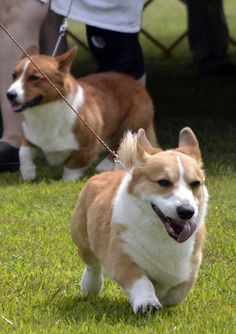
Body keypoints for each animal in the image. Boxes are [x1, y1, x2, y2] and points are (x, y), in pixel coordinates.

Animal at [6, 46, 157, 181]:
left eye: (34, 78)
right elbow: (23, 152)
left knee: (121, 145)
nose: (9, 95)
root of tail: (136, 83)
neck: (46, 112)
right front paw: (28, 173)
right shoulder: (31, 137)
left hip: (129, 126)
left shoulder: (88, 146)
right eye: (14, 76)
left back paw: (103, 166)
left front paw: (68, 181)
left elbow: (72, 166)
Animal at [71, 126, 208, 314]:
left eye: (195, 184)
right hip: (83, 240)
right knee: (92, 265)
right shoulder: (122, 257)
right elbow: (141, 281)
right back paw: (90, 286)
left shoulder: (192, 265)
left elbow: (178, 292)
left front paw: (163, 297)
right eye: (163, 182)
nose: (186, 211)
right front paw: (147, 303)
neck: (160, 234)